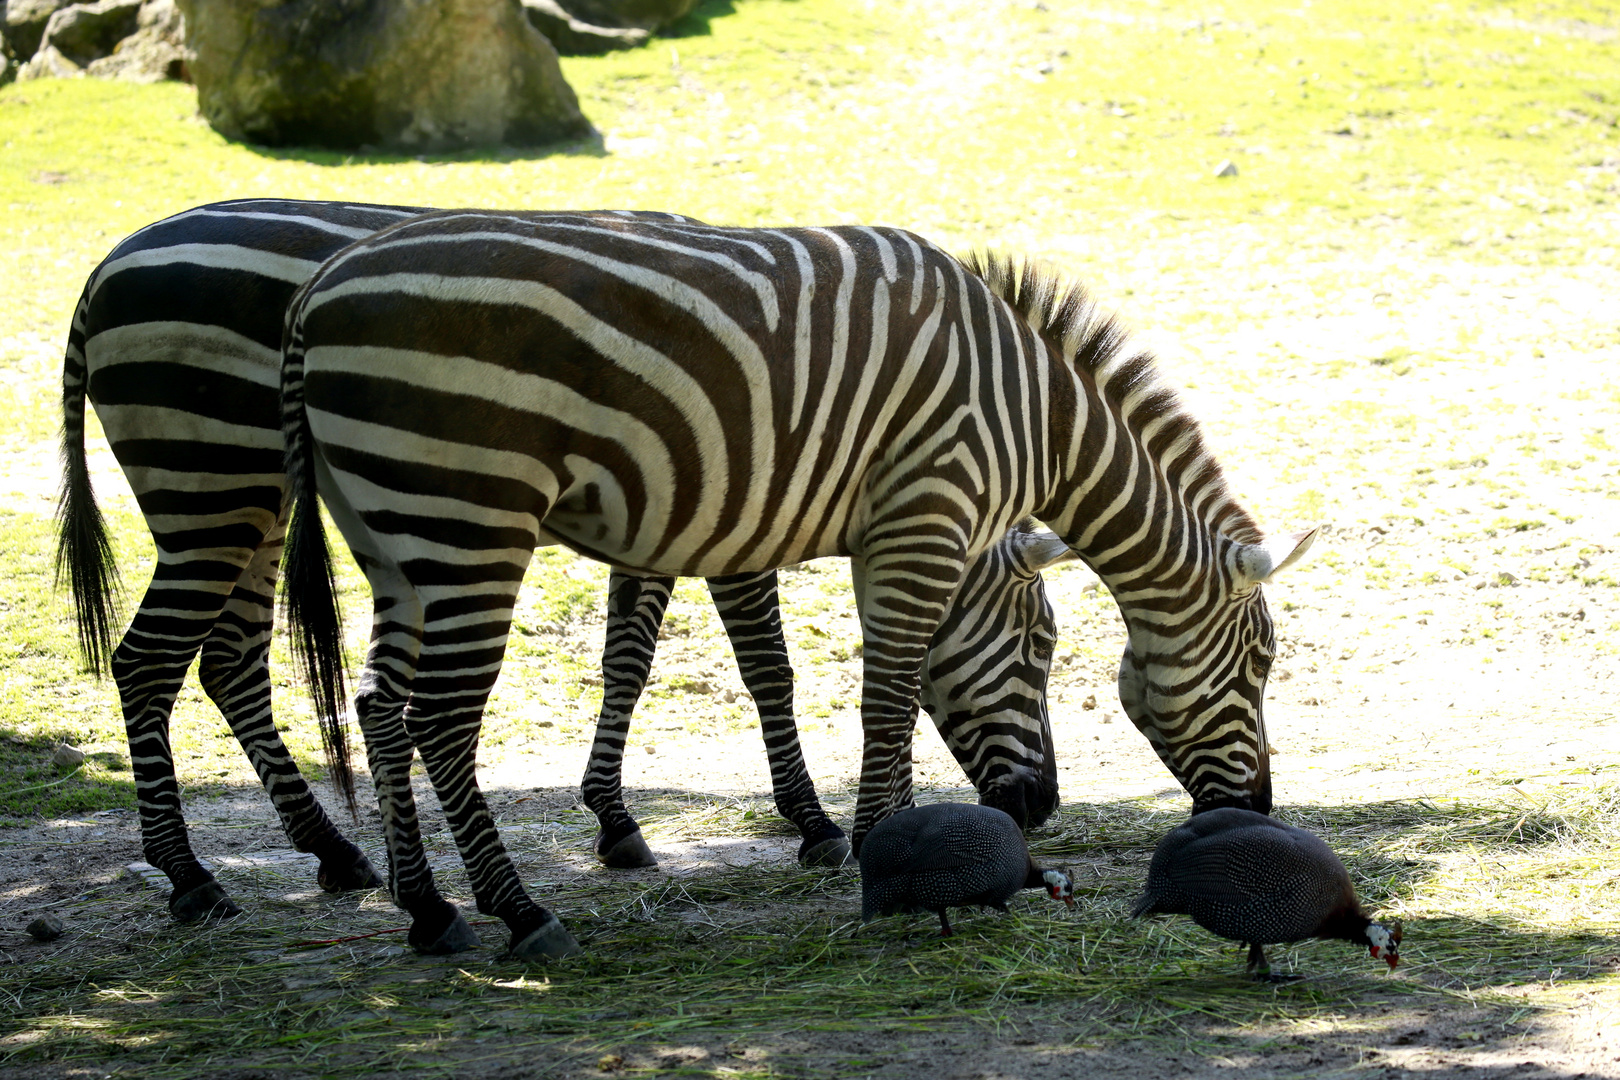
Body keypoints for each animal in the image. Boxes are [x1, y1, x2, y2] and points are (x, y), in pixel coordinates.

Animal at [53, 200, 1062, 919]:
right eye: (1044, 644)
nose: (1044, 807)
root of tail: (104, 267)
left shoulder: (665, 511)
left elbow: (628, 659)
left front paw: (614, 819)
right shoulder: (735, 510)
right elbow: (766, 667)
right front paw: (812, 823)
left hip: (251, 506)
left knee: (226, 662)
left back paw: (335, 854)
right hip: (218, 486)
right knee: (151, 660)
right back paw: (194, 880)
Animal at [281, 210, 1315, 965]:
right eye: (1043, 645)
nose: (1260, 809)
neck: (1036, 416)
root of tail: (320, 289)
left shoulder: (893, 529)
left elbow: (900, 688)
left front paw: (891, 841)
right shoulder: (926, 511)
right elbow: (887, 695)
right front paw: (880, 854)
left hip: (396, 534)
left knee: (379, 707)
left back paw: (428, 910)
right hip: (468, 516)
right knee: (441, 720)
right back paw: (520, 912)